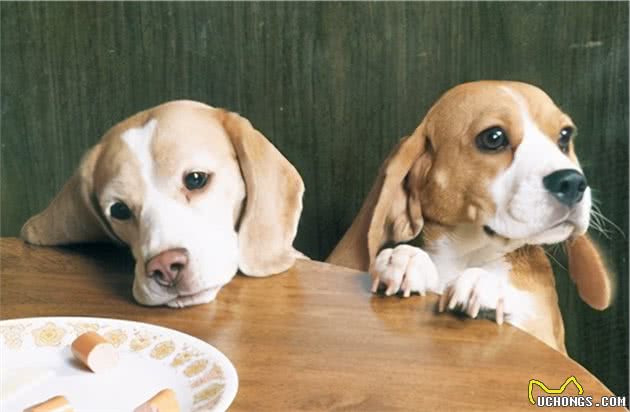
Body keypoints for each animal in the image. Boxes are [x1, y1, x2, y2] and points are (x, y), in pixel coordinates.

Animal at [328, 81, 616, 354]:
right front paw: (405, 258)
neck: (466, 255)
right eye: (493, 137)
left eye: (565, 136)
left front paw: (484, 283)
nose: (573, 183)